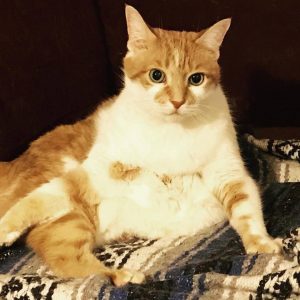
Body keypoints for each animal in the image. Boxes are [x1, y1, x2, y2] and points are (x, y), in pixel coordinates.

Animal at [0, 4, 282, 286]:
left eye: (196, 79)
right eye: (157, 76)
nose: (177, 102)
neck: (171, 132)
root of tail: (13, 163)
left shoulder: (229, 174)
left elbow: (246, 211)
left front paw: (262, 244)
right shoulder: (95, 172)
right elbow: (38, 199)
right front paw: (6, 228)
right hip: (69, 218)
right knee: (64, 255)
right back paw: (122, 275)